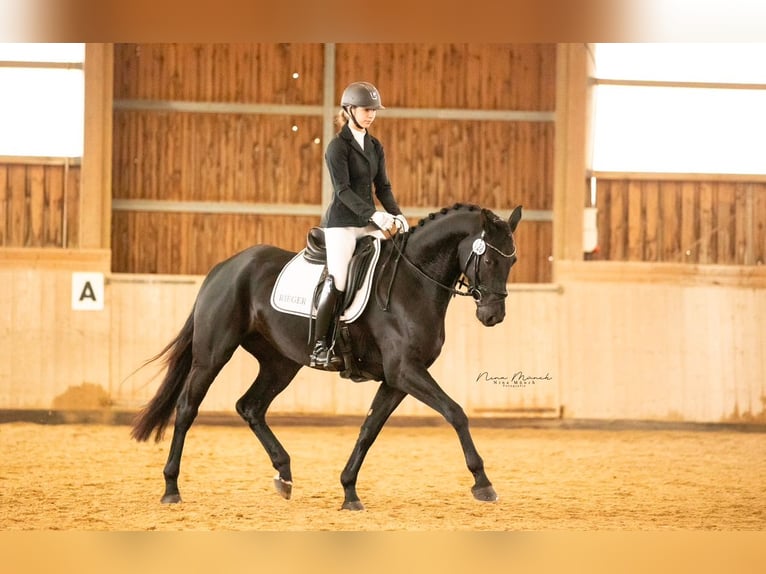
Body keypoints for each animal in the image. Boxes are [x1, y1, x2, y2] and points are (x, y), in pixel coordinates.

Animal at [134, 205, 520, 510]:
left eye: (513, 260)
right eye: (488, 258)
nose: (493, 316)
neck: (413, 282)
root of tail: (226, 267)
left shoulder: (398, 379)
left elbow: (369, 429)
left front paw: (349, 491)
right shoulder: (406, 371)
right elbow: (455, 412)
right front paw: (483, 483)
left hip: (280, 362)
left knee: (250, 406)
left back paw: (284, 475)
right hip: (213, 355)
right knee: (187, 409)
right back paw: (171, 488)